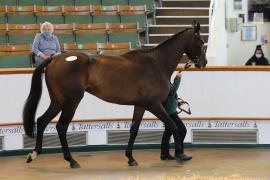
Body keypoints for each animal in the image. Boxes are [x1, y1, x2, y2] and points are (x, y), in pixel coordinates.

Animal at [22, 23, 207, 168]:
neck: (155, 64)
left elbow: (134, 129)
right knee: (61, 127)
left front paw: (130, 158)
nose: (203, 63)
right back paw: (71, 161)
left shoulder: (140, 105)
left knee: (42, 121)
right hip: (71, 102)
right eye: (200, 42)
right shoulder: (153, 104)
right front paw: (179, 155)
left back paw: (34, 154)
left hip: (58, 101)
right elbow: (173, 125)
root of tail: (55, 59)